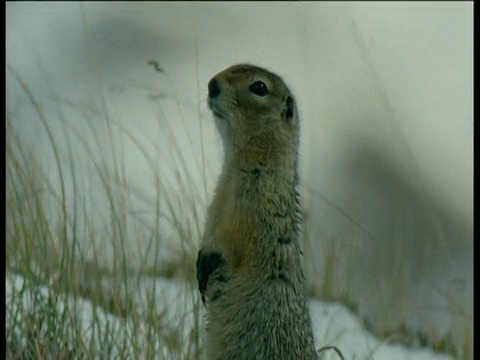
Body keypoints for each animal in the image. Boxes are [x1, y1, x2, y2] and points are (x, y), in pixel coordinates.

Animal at [197, 63, 316, 358]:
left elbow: (234, 238)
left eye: (259, 87)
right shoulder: (217, 201)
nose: (212, 84)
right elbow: (209, 228)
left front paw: (208, 261)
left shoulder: (254, 205)